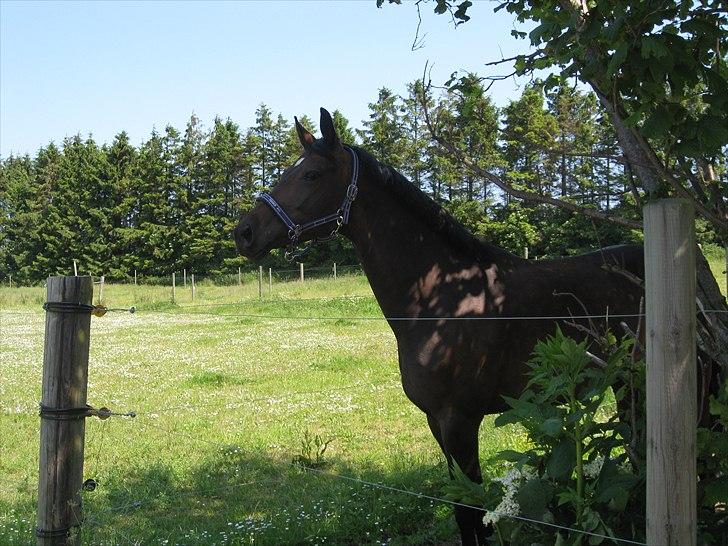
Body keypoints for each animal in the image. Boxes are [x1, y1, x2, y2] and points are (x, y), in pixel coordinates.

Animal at [233, 107, 644, 544]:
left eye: (310, 174)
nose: (244, 233)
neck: (442, 298)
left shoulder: (459, 419)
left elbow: (470, 510)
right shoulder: (436, 420)